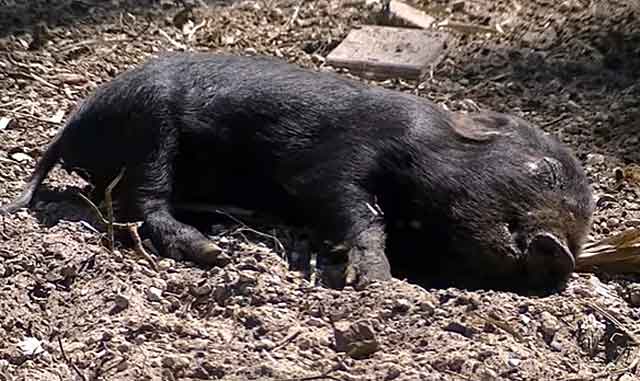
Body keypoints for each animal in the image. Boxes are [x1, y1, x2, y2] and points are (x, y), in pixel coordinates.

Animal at [0, 52, 592, 288]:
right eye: (542, 171)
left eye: (586, 220)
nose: (560, 255)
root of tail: (72, 125)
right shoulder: (337, 161)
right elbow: (355, 210)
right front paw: (376, 281)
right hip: (151, 128)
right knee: (136, 204)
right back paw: (214, 252)